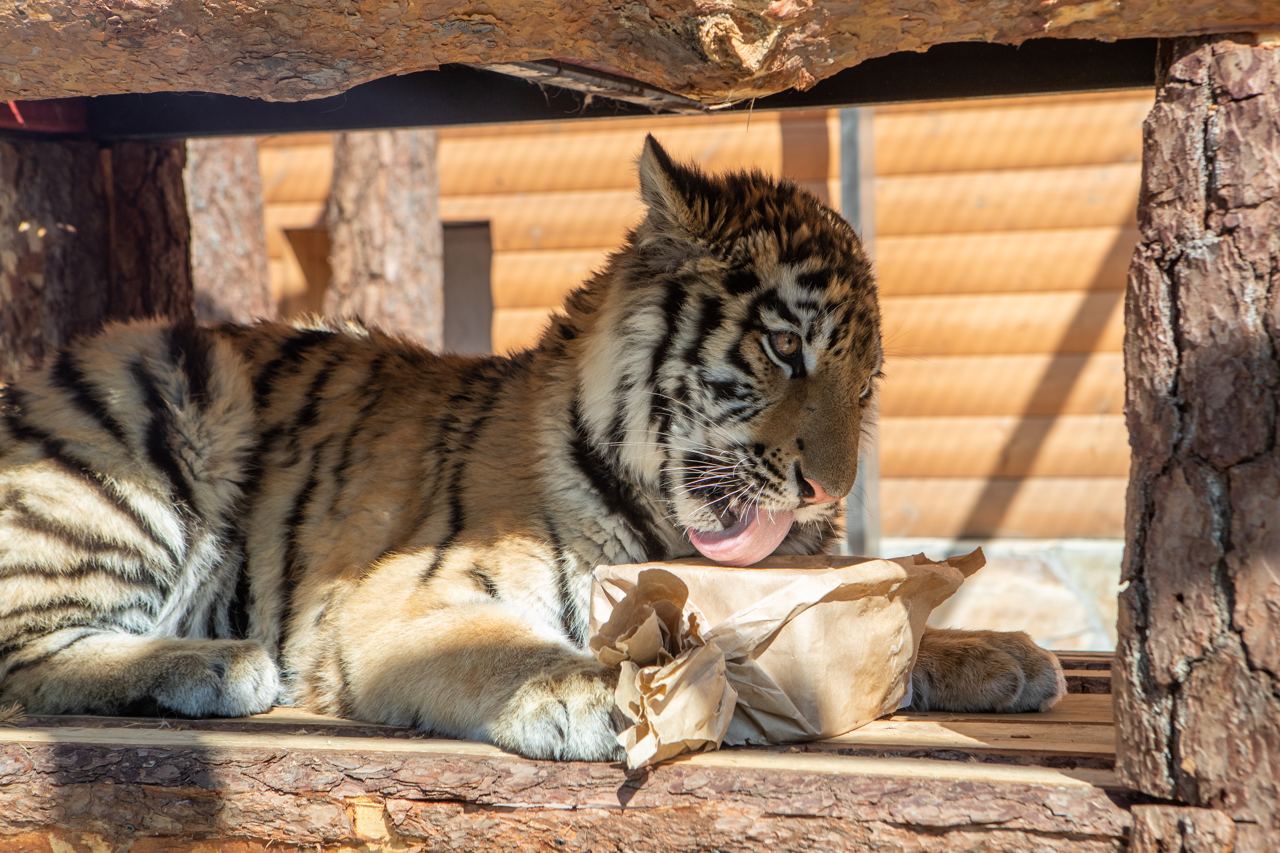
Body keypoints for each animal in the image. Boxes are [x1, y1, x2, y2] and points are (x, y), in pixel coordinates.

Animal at [0, 136, 1064, 753]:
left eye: (867, 383)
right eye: (784, 345)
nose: (825, 490)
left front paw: (1001, 651)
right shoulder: (400, 601)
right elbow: (507, 652)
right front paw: (600, 693)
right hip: (140, 426)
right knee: (23, 656)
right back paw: (218, 663)